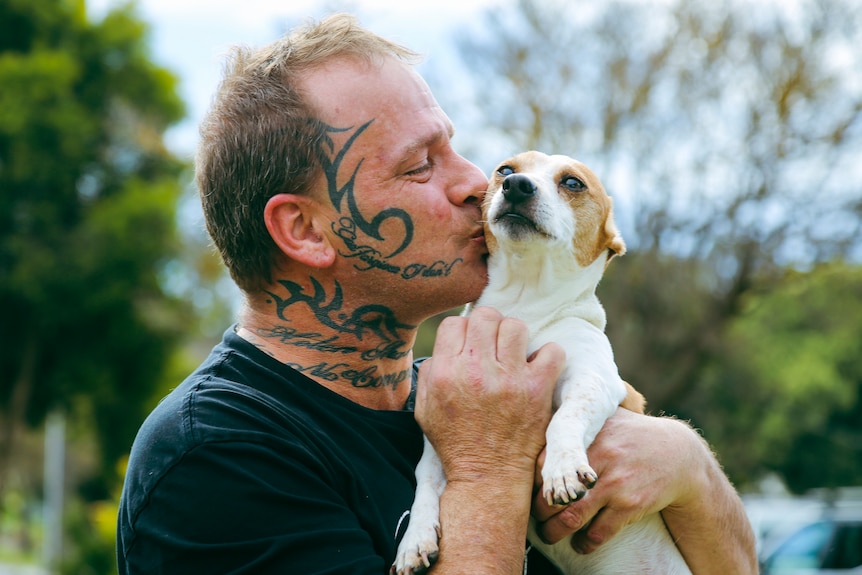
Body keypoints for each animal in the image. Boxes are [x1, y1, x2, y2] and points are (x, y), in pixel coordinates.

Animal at [394, 151, 692, 572]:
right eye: (505, 169)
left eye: (573, 183)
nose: (516, 185)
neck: (523, 305)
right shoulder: (439, 429)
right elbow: (426, 481)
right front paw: (413, 541)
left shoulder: (595, 380)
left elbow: (564, 419)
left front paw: (562, 469)